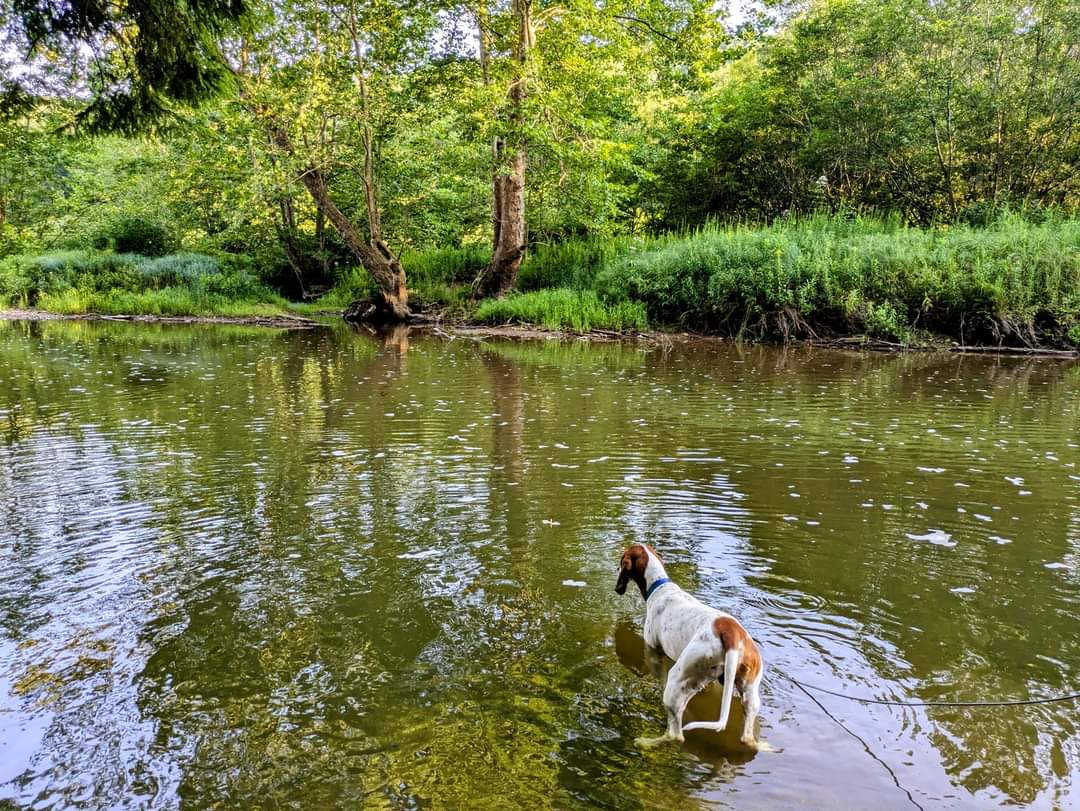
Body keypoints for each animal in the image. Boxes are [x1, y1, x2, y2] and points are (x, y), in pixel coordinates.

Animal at [613, 546, 764, 747]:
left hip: (677, 680)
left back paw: (646, 742)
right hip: (750, 693)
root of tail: (731, 633)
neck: (660, 587)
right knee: (747, 737)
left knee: (676, 735)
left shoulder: (652, 651)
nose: (616, 570)